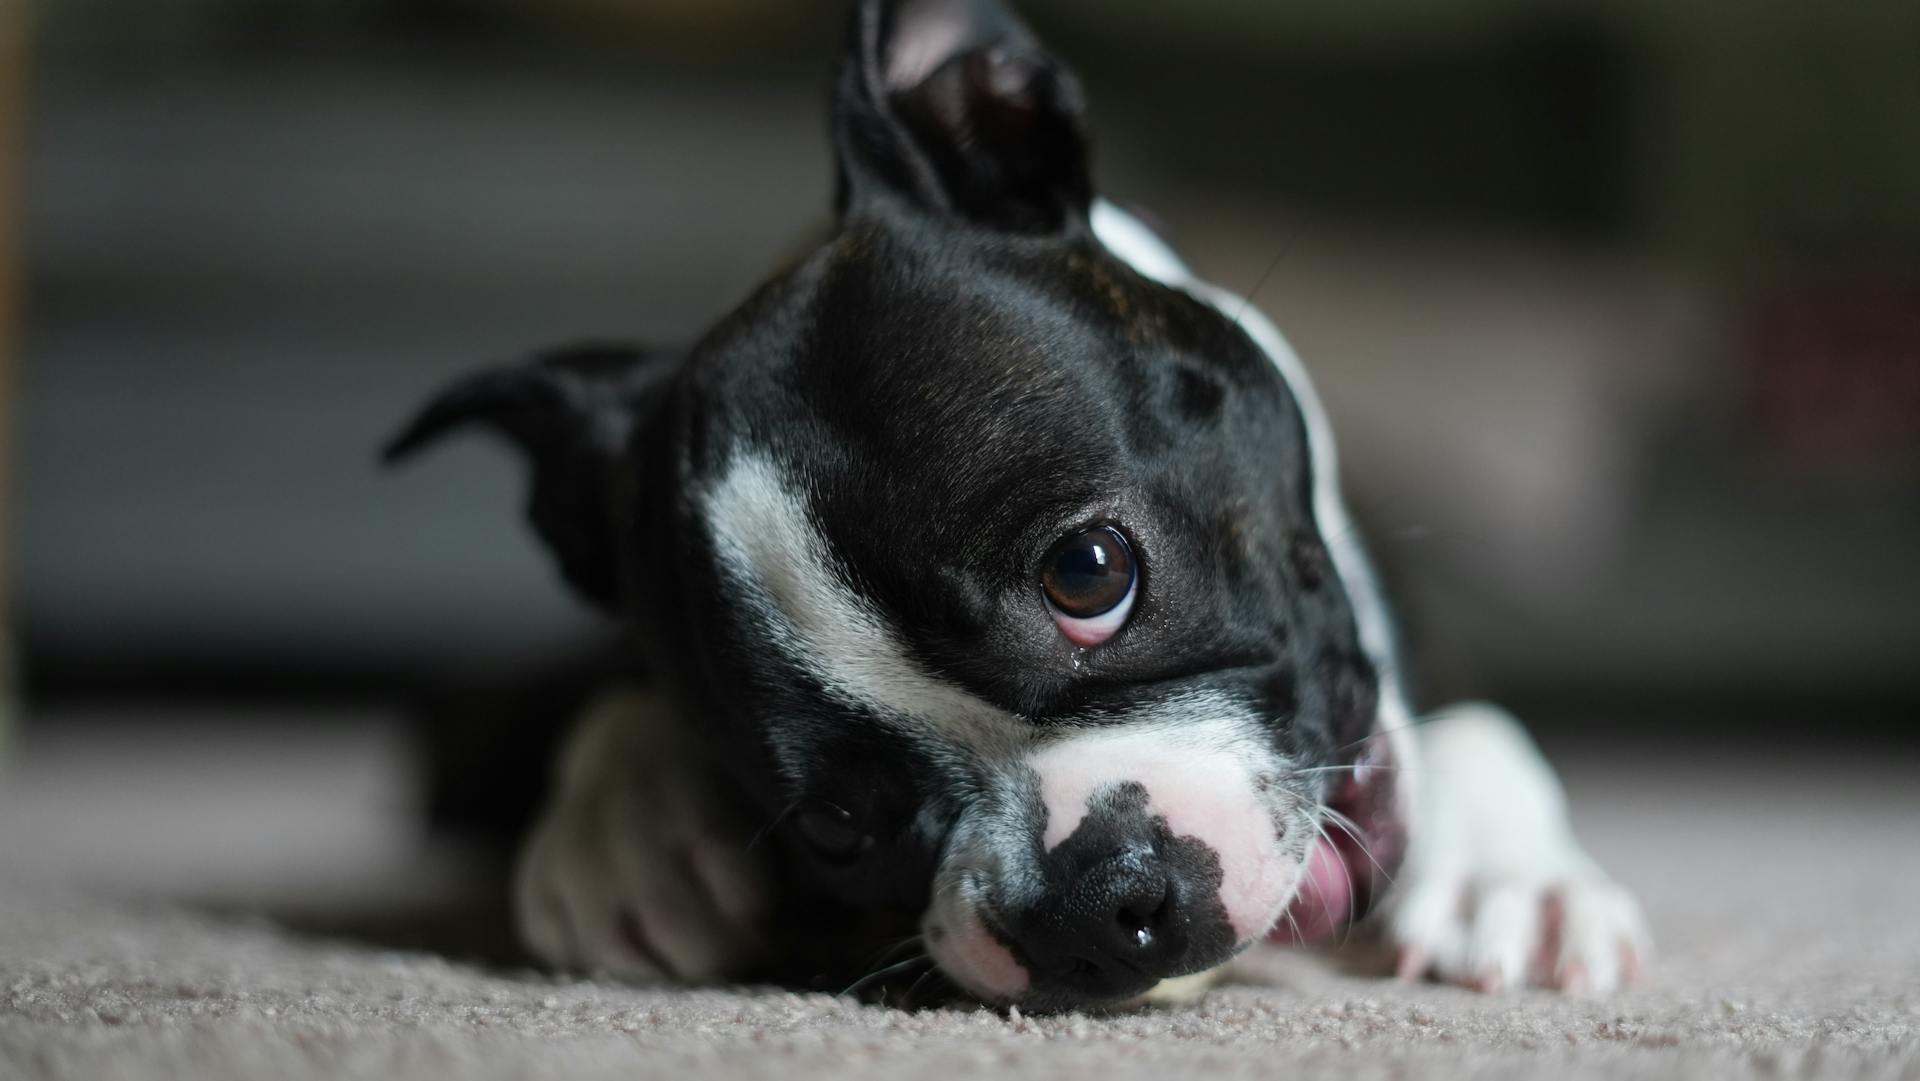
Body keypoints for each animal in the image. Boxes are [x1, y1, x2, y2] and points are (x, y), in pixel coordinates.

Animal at [382, 0, 1643, 1013]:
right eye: (835, 823)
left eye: (1090, 572)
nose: (1090, 900)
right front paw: (629, 832)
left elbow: (1475, 727)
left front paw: (1511, 877)